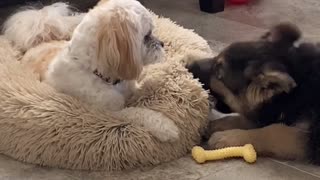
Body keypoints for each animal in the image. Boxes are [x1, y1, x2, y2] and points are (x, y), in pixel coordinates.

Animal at [186, 22, 320, 163]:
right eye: (216, 57)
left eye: (219, 74)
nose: (188, 66)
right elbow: (244, 119)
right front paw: (215, 125)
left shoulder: (311, 139)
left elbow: (274, 131)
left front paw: (227, 137)